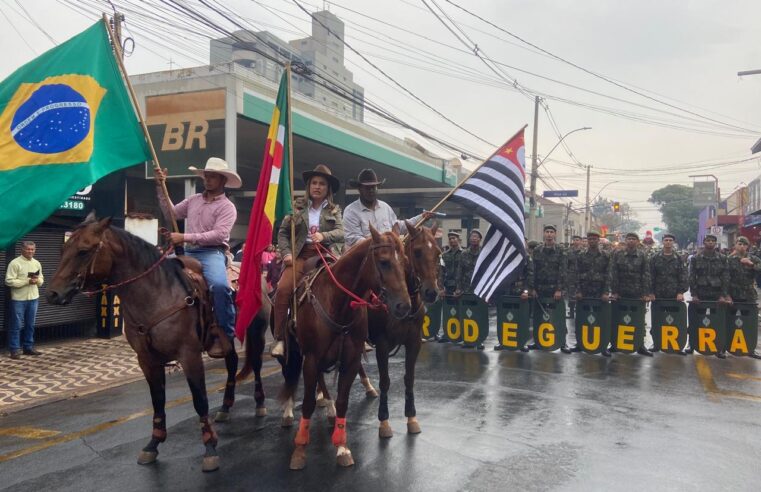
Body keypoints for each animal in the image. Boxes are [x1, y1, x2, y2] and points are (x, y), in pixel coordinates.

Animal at [44, 214, 245, 472]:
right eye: (63, 249)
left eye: (83, 251)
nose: (52, 294)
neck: (156, 294)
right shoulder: (146, 359)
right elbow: (157, 399)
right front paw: (153, 444)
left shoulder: (189, 355)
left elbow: (200, 399)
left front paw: (210, 447)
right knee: (232, 362)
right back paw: (226, 407)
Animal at [280, 226, 410, 468]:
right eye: (384, 262)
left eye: (405, 260)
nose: (403, 306)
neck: (337, 303)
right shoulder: (311, 357)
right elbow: (308, 403)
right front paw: (300, 448)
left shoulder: (350, 360)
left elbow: (342, 401)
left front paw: (342, 447)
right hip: (295, 349)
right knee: (290, 373)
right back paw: (288, 412)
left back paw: (329, 409)